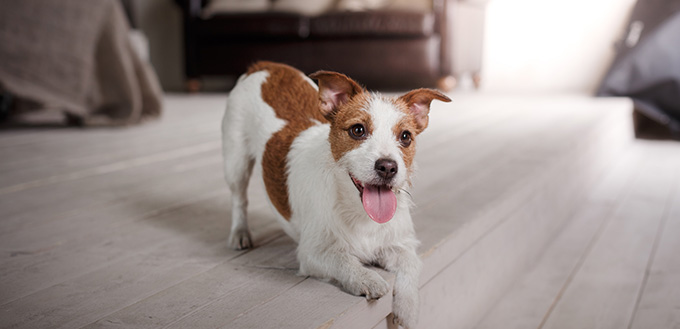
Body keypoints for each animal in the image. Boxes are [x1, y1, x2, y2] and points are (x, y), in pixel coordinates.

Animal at [220, 60, 448, 326]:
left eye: (405, 136)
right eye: (358, 130)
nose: (388, 167)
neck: (359, 212)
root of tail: (265, 65)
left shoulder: (400, 245)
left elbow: (411, 265)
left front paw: (409, 309)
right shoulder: (314, 253)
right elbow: (343, 260)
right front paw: (367, 278)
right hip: (235, 161)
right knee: (239, 199)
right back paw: (239, 233)